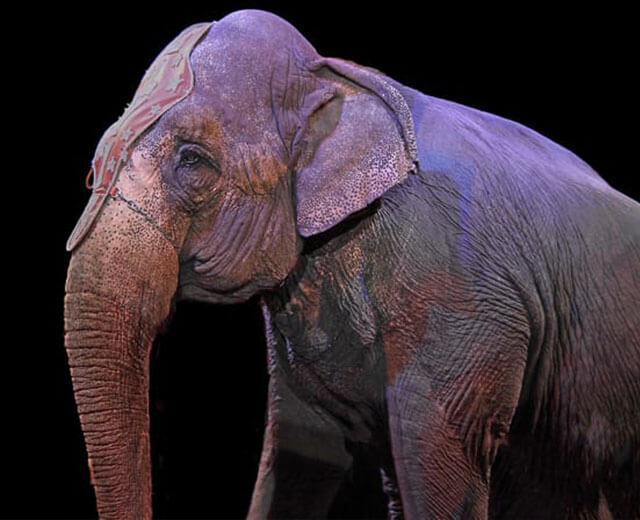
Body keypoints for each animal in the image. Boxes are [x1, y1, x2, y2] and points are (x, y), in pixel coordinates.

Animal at [64, 9, 640, 520]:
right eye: (94, 166)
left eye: (192, 160)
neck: (332, 75)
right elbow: (301, 444)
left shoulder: (456, 292)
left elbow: (435, 455)